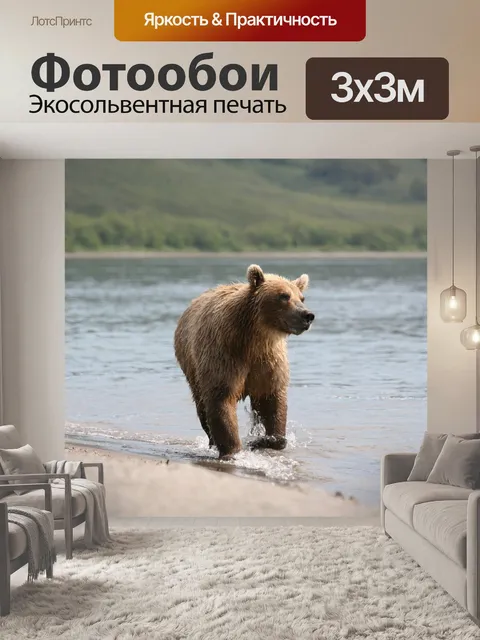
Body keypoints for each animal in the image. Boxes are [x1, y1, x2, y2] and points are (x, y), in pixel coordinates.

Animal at [173, 264, 315, 459]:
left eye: (302, 297)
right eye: (284, 296)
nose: (307, 315)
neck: (254, 339)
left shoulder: (268, 362)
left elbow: (273, 402)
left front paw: (262, 440)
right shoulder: (225, 355)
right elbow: (221, 399)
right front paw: (233, 450)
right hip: (192, 367)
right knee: (201, 405)